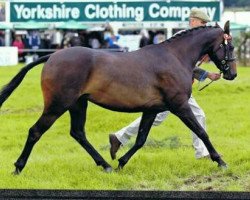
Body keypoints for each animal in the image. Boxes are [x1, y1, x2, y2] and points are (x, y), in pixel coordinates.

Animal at [0, 20, 236, 173]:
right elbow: (201, 132)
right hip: (58, 104)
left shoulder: (152, 109)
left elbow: (141, 139)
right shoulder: (179, 105)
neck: (175, 57)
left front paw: (121, 161)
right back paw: (18, 167)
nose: (232, 74)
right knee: (36, 131)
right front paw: (220, 161)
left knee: (78, 133)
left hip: (78, 103)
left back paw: (106, 165)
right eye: (230, 46)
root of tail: (53, 55)